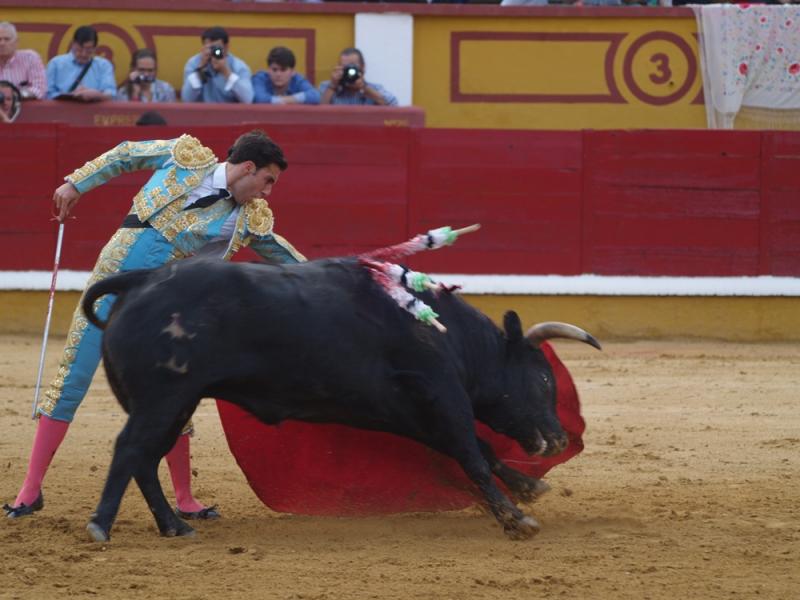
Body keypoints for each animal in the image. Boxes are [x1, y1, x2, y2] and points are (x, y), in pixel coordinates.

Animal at [79, 255, 600, 540]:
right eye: (544, 379)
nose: (558, 438)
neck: (446, 333)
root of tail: (140, 280)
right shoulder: (443, 397)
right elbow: (472, 453)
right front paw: (516, 519)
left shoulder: (416, 413)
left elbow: (480, 449)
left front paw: (529, 487)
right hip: (163, 398)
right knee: (131, 449)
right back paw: (102, 525)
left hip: (174, 402)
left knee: (146, 458)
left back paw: (175, 526)